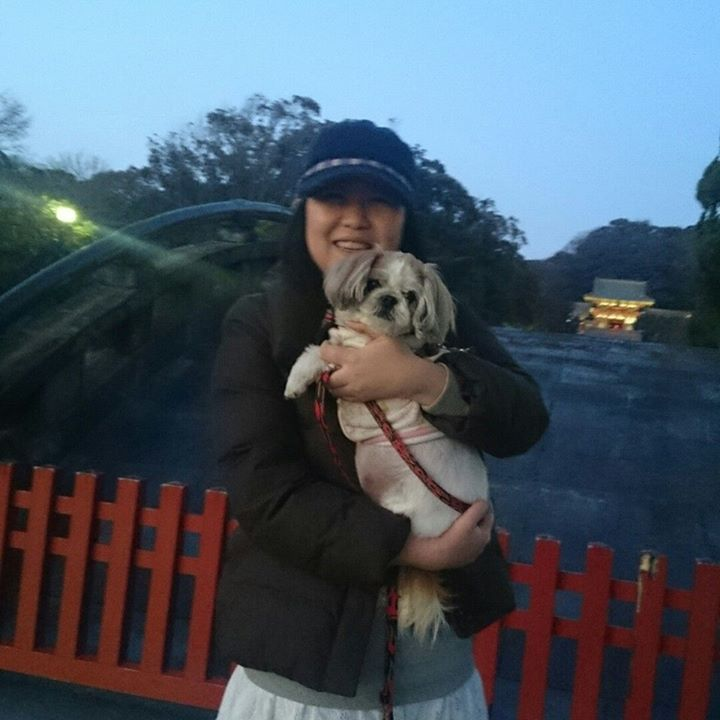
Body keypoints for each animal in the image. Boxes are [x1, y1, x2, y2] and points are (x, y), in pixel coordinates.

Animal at [284, 249, 489, 641]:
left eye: (411, 296)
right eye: (372, 283)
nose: (390, 299)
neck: (372, 338)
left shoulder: (350, 361)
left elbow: (320, 351)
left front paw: (296, 380)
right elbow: (320, 346)